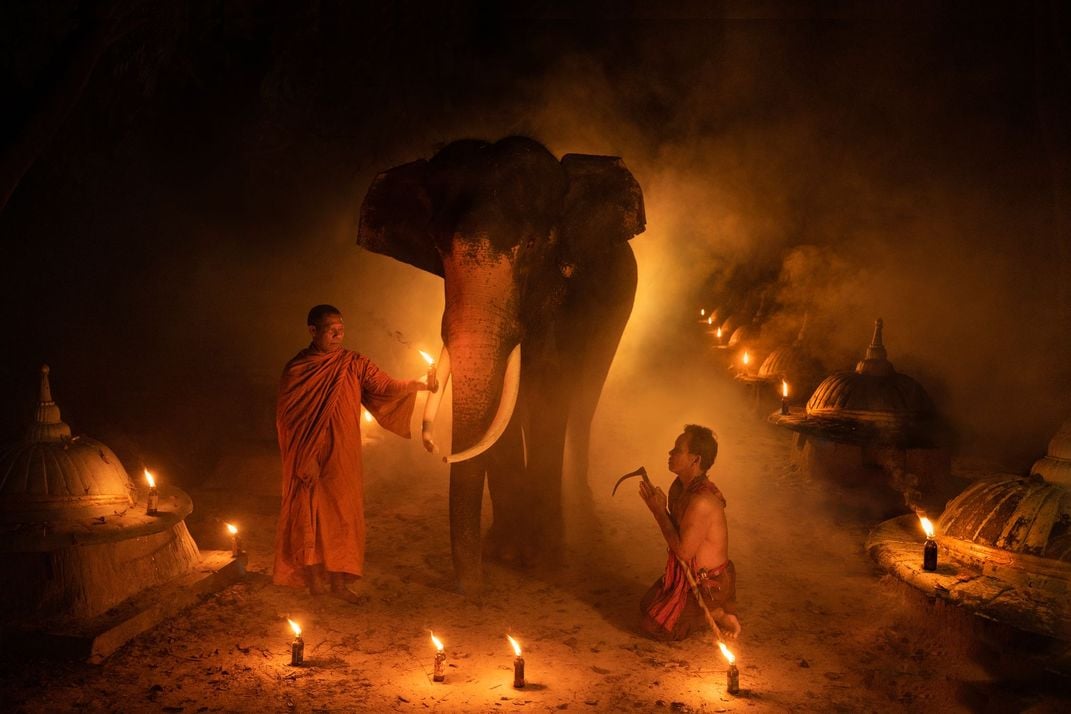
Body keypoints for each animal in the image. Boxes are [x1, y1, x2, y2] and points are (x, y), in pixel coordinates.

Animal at [357, 137, 642, 595]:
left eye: (532, 246)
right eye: (438, 247)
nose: (473, 587)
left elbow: (549, 389)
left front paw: (544, 562)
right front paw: (505, 554)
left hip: (618, 312)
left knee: (583, 403)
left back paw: (585, 514)